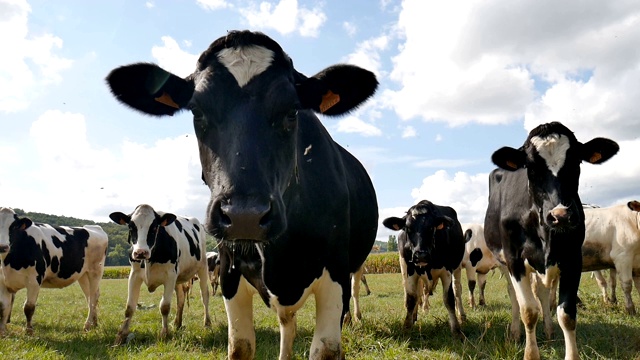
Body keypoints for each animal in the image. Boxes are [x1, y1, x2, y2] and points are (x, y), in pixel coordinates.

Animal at [109, 204, 210, 344]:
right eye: (131, 227)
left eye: (154, 227)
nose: (141, 252)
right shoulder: (134, 275)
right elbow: (129, 307)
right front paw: (120, 336)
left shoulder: (170, 276)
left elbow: (165, 306)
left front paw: (164, 334)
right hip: (179, 278)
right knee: (181, 298)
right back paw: (177, 323)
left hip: (203, 267)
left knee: (204, 295)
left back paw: (207, 323)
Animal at [382, 200, 468, 338]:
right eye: (408, 228)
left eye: (431, 227)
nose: (420, 255)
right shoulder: (410, 270)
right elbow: (411, 299)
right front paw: (406, 328)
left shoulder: (447, 271)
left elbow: (449, 299)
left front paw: (456, 330)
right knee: (416, 294)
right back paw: (414, 317)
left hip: (457, 267)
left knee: (457, 290)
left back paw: (462, 316)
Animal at [484, 122, 620, 358]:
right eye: (530, 167)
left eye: (576, 162)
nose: (561, 216)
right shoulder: (514, 259)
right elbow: (528, 310)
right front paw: (531, 354)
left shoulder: (572, 259)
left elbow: (566, 314)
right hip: (504, 262)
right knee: (515, 296)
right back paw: (515, 333)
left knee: (542, 292)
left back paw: (548, 331)